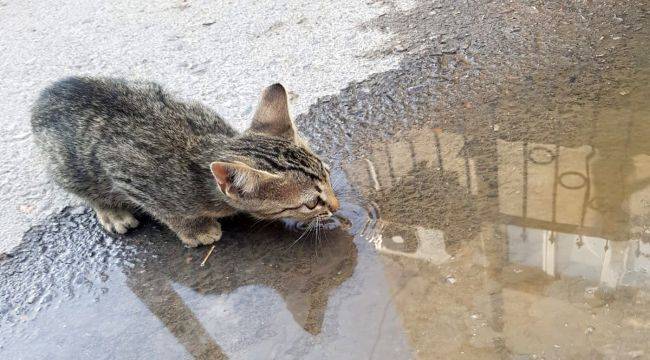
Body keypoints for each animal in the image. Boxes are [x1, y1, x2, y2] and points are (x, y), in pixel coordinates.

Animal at [30, 77, 340, 248]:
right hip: (68, 166)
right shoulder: (125, 171)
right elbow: (169, 212)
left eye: (328, 174)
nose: (337, 206)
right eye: (311, 203)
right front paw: (196, 230)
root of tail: (44, 96)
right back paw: (112, 212)